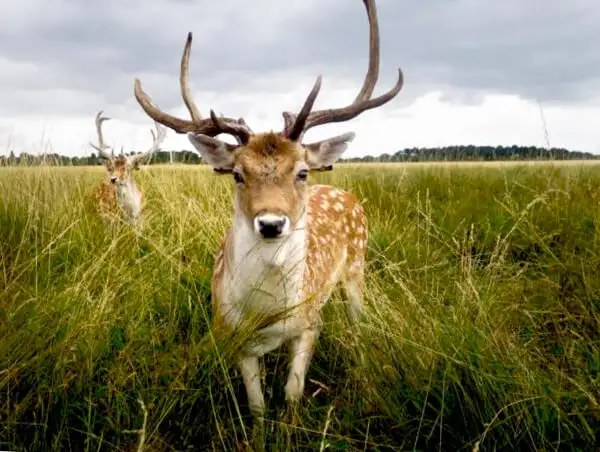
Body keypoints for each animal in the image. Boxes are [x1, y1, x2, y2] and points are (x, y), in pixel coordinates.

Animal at [132, 0, 404, 444]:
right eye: (238, 174)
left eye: (302, 172)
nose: (272, 223)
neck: (266, 314)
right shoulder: (232, 333)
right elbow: (257, 407)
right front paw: (260, 435)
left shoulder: (309, 323)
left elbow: (292, 394)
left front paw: (292, 431)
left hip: (357, 268)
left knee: (358, 325)